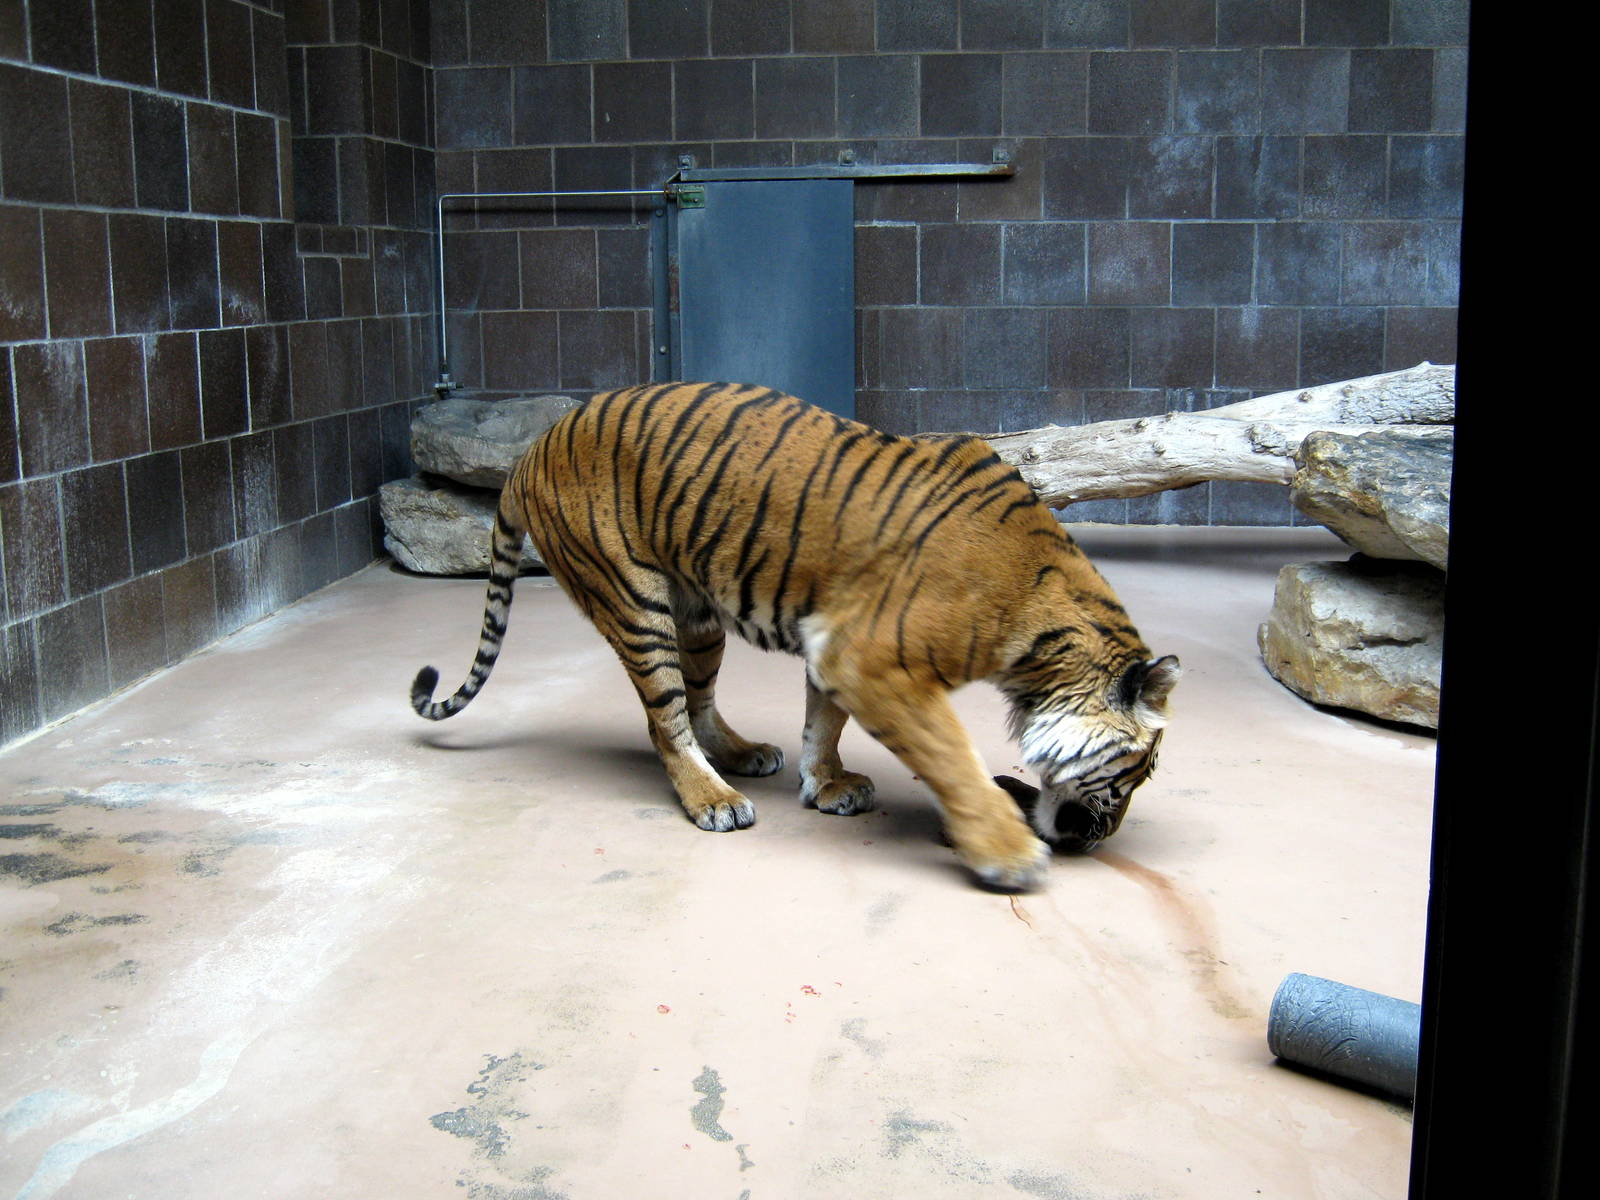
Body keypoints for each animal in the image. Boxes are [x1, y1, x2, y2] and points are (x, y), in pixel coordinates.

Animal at [411, 382, 1179, 892]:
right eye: (1134, 773)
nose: (1100, 843)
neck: (1044, 638)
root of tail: (528, 453)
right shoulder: (875, 661)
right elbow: (951, 757)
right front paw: (1006, 850)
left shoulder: (835, 645)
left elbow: (824, 722)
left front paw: (828, 783)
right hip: (634, 602)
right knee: (665, 719)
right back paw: (712, 799)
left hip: (698, 615)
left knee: (698, 702)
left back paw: (744, 755)